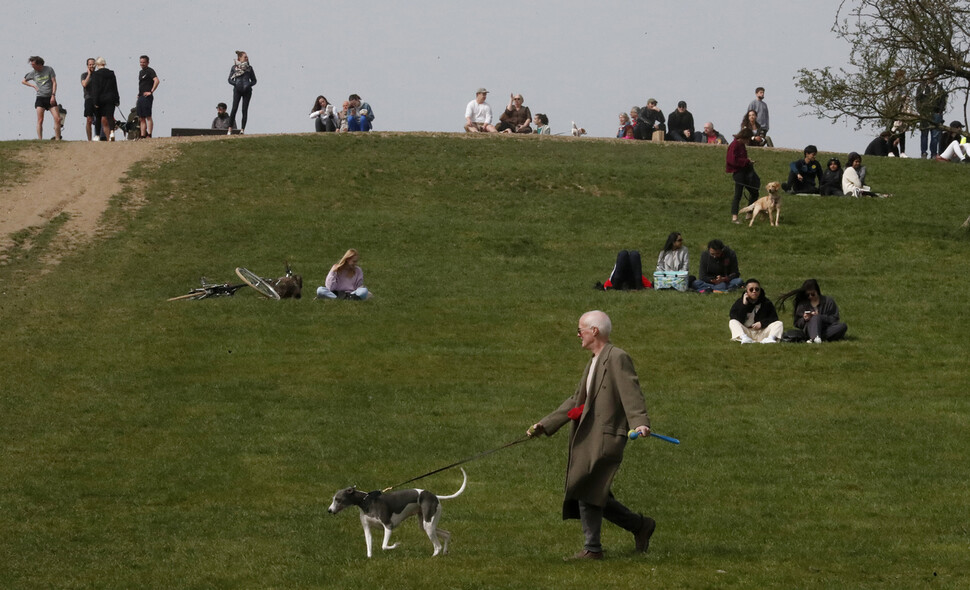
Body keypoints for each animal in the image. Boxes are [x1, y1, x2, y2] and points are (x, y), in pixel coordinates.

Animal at [328, 470, 466, 556]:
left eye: (338, 499)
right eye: (333, 498)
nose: (329, 510)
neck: (367, 501)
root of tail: (435, 496)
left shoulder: (388, 526)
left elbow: (384, 546)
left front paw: (395, 545)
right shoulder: (367, 528)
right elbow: (369, 547)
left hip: (428, 523)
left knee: (437, 546)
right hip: (426, 523)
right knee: (447, 534)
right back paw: (445, 551)